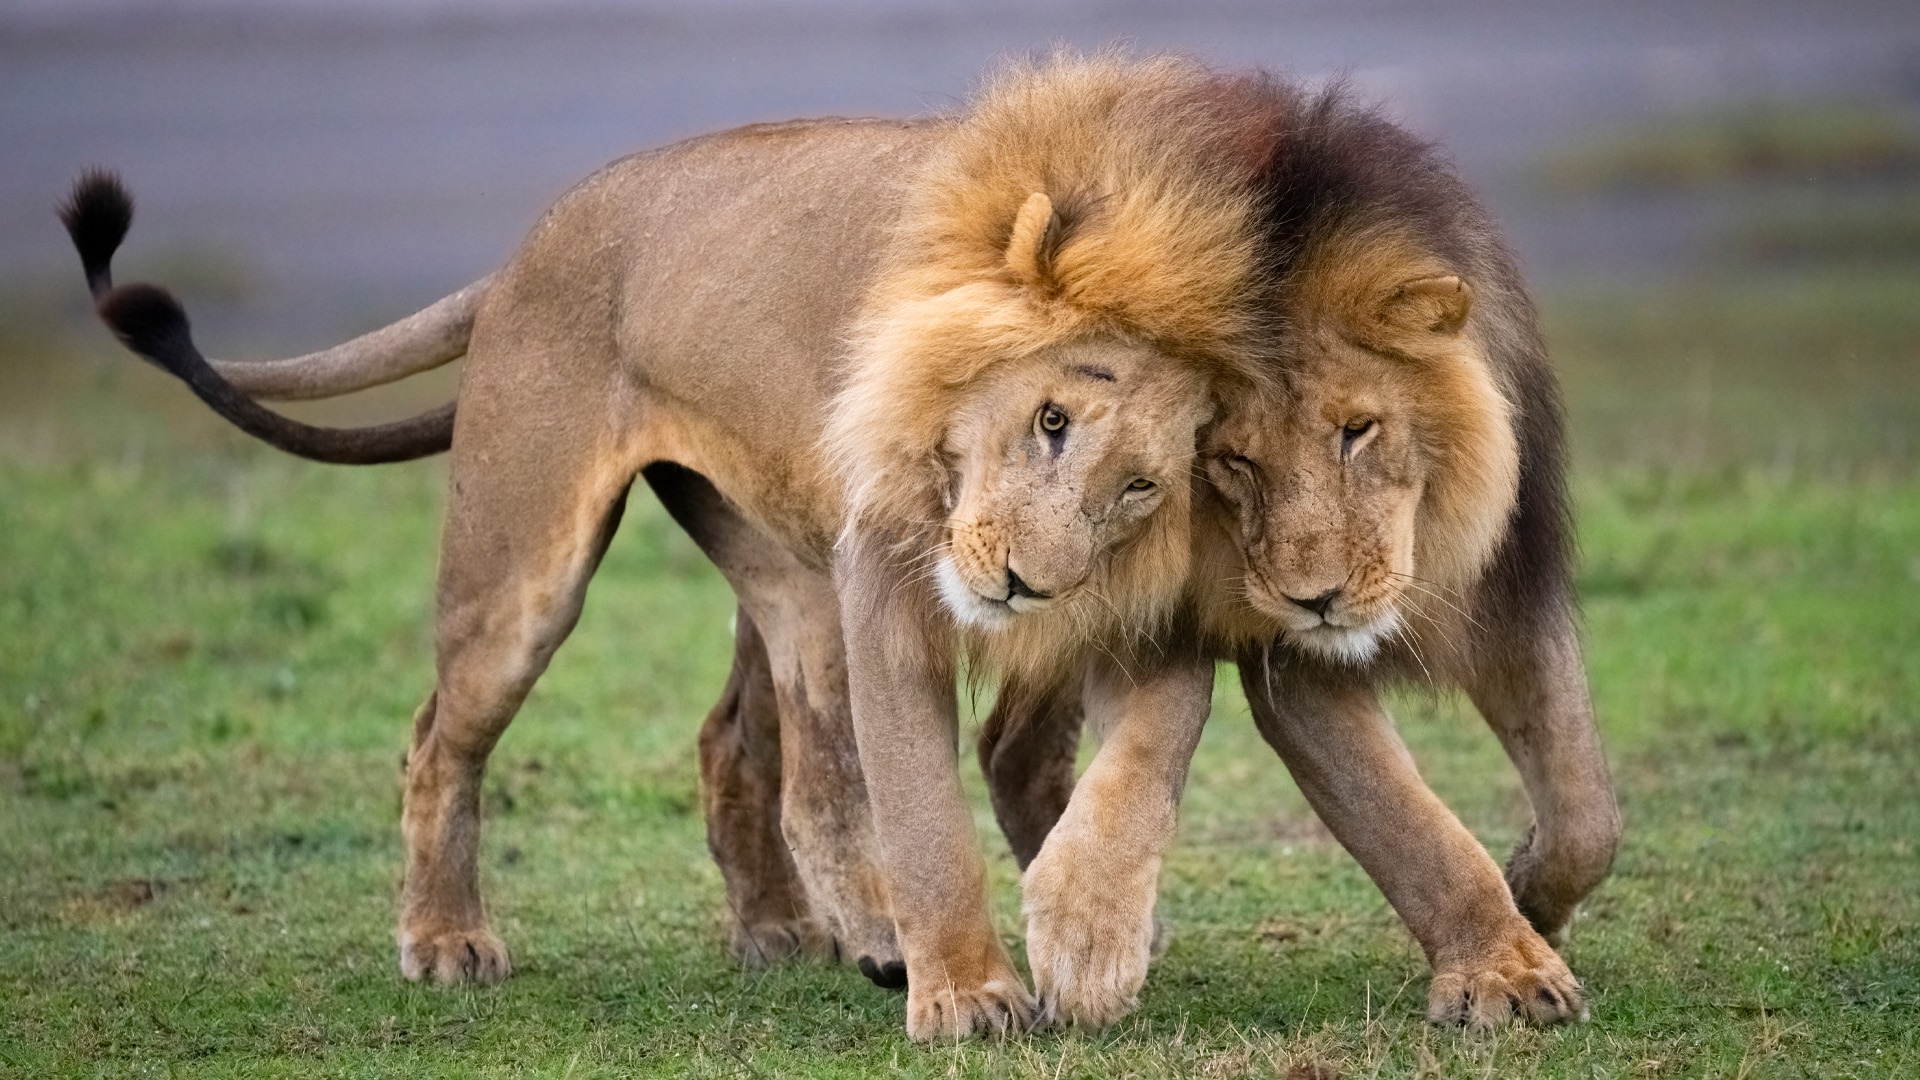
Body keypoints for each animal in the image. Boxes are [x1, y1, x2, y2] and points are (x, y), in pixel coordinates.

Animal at [61, 53, 1278, 1039]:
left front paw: (1089, 940)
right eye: (1050, 420)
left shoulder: (1124, 601)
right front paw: (970, 994)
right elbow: (931, 803)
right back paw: (451, 941)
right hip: (534, 569)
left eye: (1144, 485)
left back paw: (796, 929)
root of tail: (529, 245)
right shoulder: (894, 568)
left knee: (756, 743)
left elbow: (1104, 761)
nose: (1029, 579)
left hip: (778, 559)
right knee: (446, 737)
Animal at [977, 78, 1621, 1028]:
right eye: (1235, 462)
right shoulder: (1291, 665)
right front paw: (1502, 973)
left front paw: (1535, 894)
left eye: (1356, 430)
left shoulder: (1509, 596)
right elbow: (1406, 820)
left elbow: (1586, 809)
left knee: (1009, 751)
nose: (1316, 598)